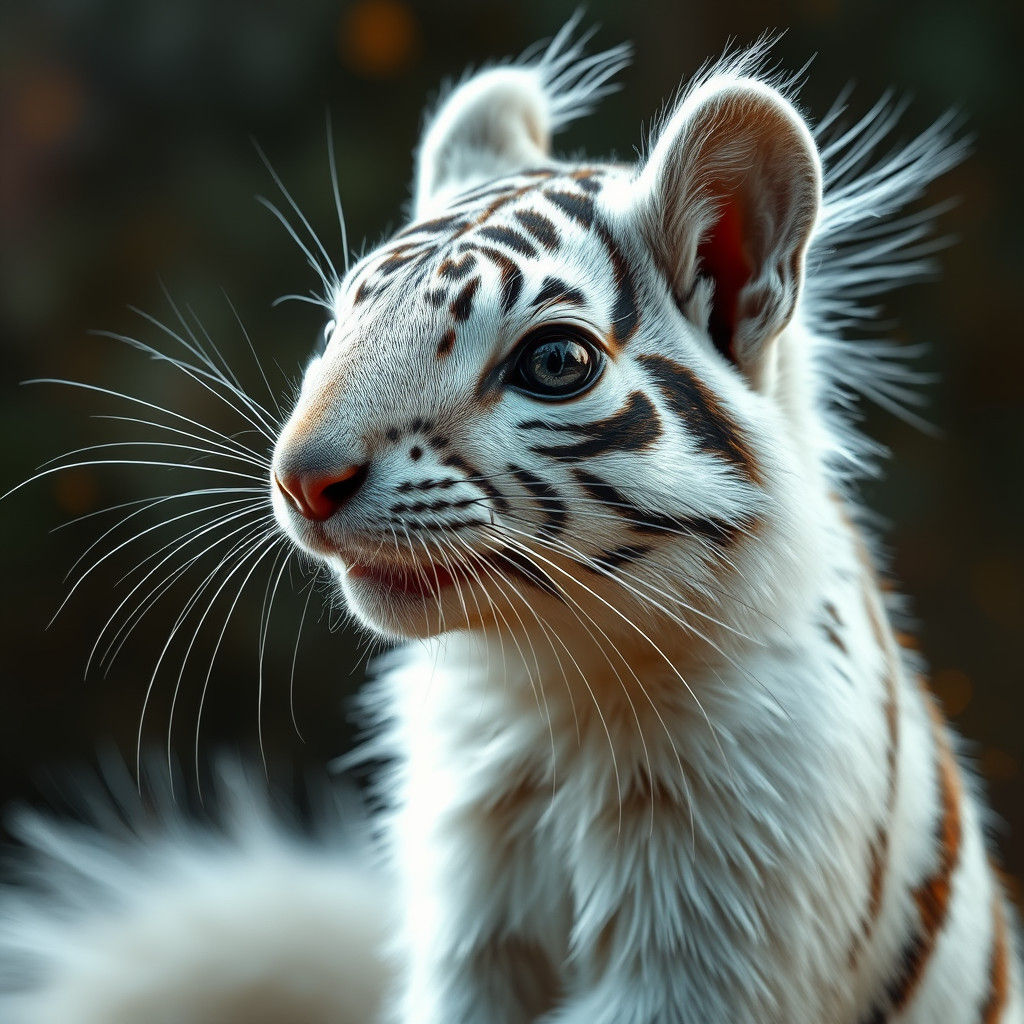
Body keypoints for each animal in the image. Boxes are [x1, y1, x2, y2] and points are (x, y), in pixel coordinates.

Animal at [1, 19, 1020, 1024]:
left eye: (554, 363)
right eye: (337, 331)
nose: (301, 479)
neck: (545, 700)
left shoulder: (713, 937)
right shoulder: (469, 933)